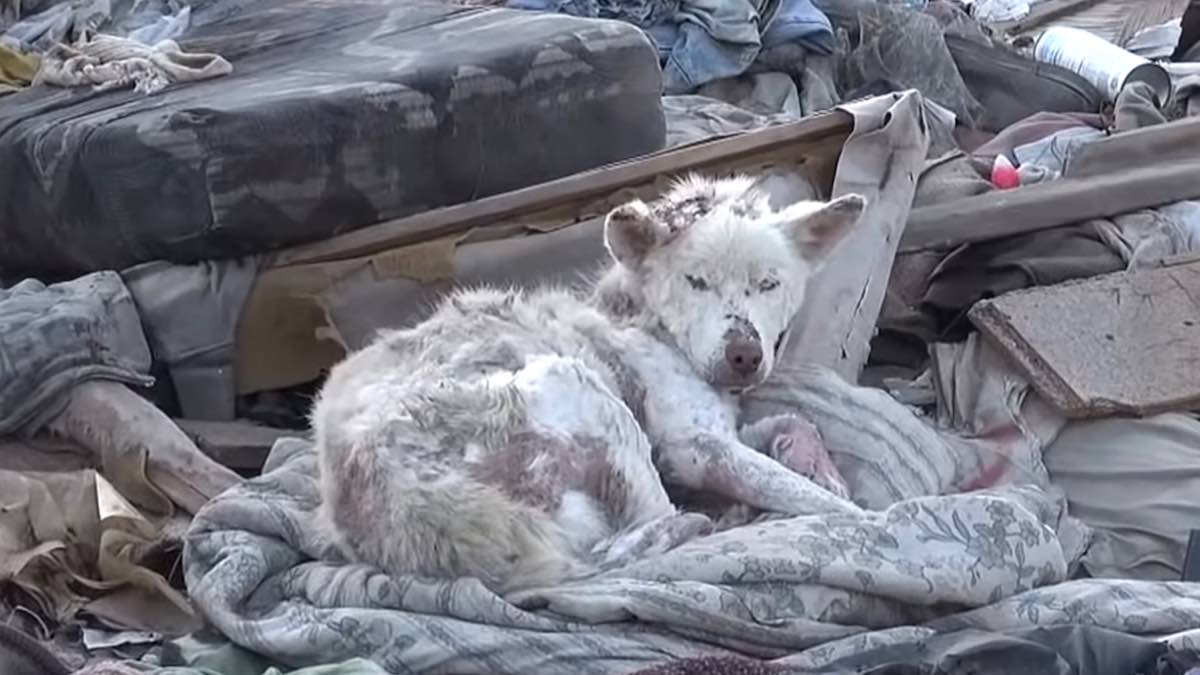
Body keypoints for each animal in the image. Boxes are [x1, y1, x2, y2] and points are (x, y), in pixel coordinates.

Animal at [314, 172, 868, 593]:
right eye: (696, 281)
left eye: (768, 284)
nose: (745, 356)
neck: (644, 320)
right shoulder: (691, 447)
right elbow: (830, 507)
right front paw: (852, 509)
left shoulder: (718, 436)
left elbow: (796, 423)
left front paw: (819, 466)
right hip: (582, 390)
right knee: (647, 525)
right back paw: (709, 521)